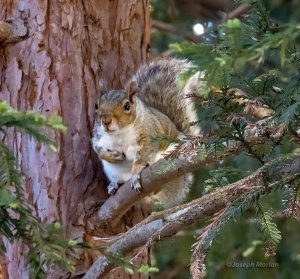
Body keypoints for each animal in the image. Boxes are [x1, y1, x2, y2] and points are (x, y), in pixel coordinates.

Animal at [91, 58, 199, 208]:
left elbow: (143, 154)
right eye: (96, 105)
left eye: (127, 106)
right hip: (112, 171)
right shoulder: (99, 136)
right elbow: (98, 149)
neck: (119, 133)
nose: (106, 121)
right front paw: (112, 156)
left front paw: (136, 171)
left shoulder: (149, 135)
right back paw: (114, 184)